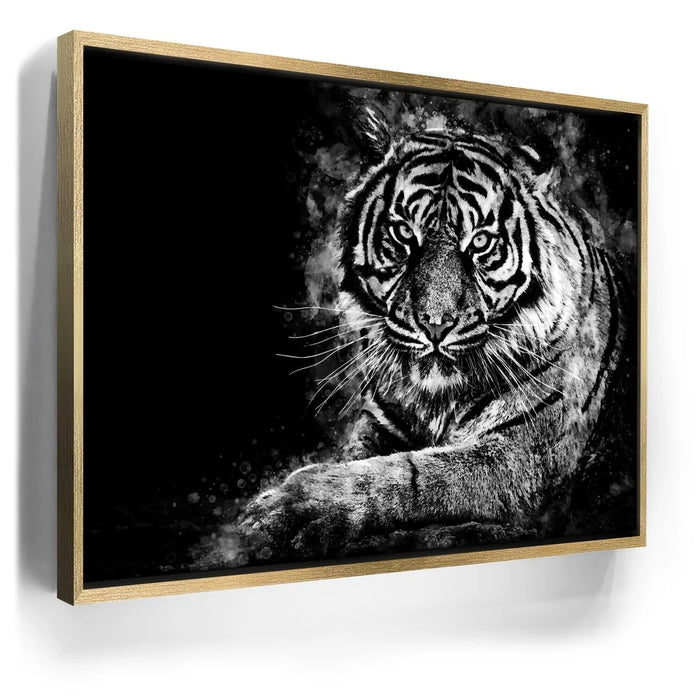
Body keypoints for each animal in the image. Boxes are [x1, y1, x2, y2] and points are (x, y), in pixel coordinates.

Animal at [211, 104, 632, 567]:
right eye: (403, 234)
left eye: (480, 242)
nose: (435, 323)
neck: (435, 399)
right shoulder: (381, 423)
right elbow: (366, 459)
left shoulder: (520, 456)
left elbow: (411, 475)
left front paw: (289, 508)